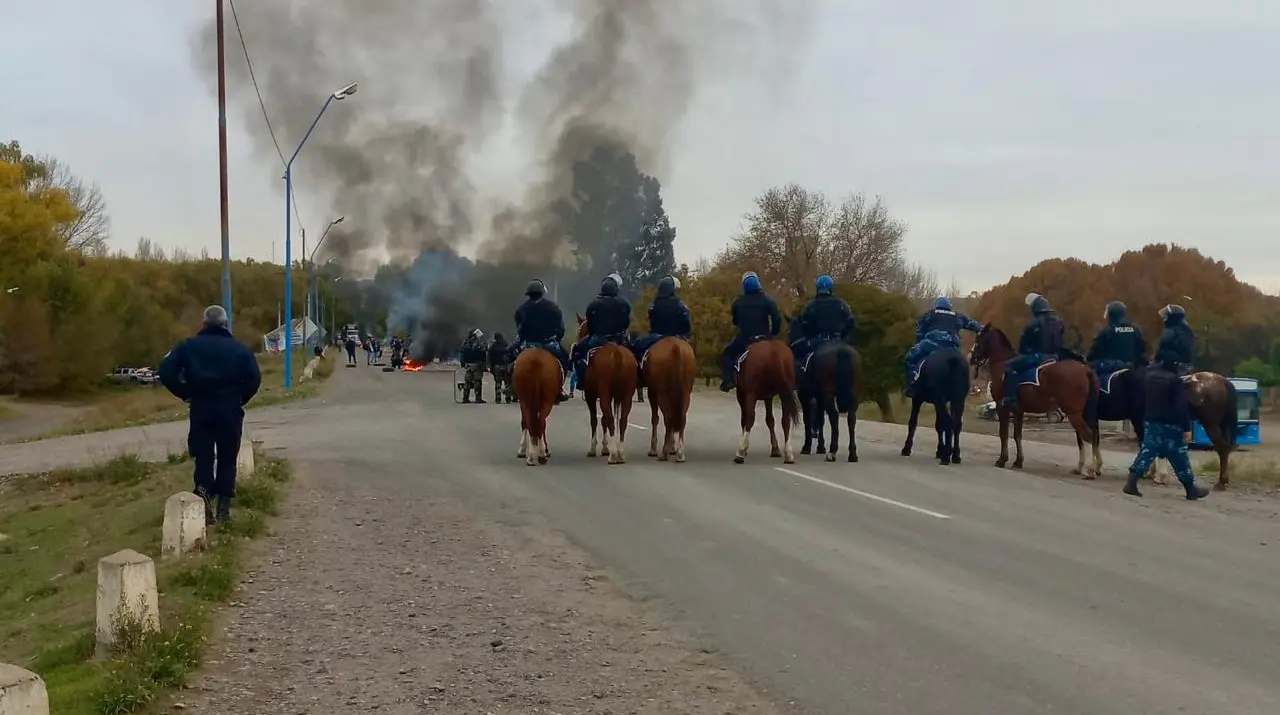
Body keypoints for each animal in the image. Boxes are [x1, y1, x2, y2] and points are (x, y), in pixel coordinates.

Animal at [581, 314, 640, 465]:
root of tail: (617, 352)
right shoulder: (616, 397)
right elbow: (608, 419)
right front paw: (606, 447)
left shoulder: (590, 396)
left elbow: (595, 420)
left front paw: (595, 448)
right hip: (627, 395)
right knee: (622, 421)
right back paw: (620, 453)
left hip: (603, 394)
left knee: (610, 419)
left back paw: (613, 455)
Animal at [732, 340, 798, 468]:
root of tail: (773, 350)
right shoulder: (769, 397)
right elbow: (770, 420)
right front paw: (775, 449)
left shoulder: (742, 395)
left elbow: (744, 420)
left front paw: (744, 449)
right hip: (784, 394)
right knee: (785, 421)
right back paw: (788, 454)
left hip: (750, 394)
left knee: (750, 418)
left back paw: (740, 453)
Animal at [967, 327, 1100, 478]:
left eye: (978, 338)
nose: (971, 357)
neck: (1003, 364)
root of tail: (1084, 369)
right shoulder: (1018, 411)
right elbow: (1017, 435)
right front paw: (1018, 461)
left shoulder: (1002, 407)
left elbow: (1004, 434)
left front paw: (1002, 460)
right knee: (1090, 436)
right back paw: (1087, 467)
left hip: (1074, 413)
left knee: (1087, 435)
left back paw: (1089, 470)